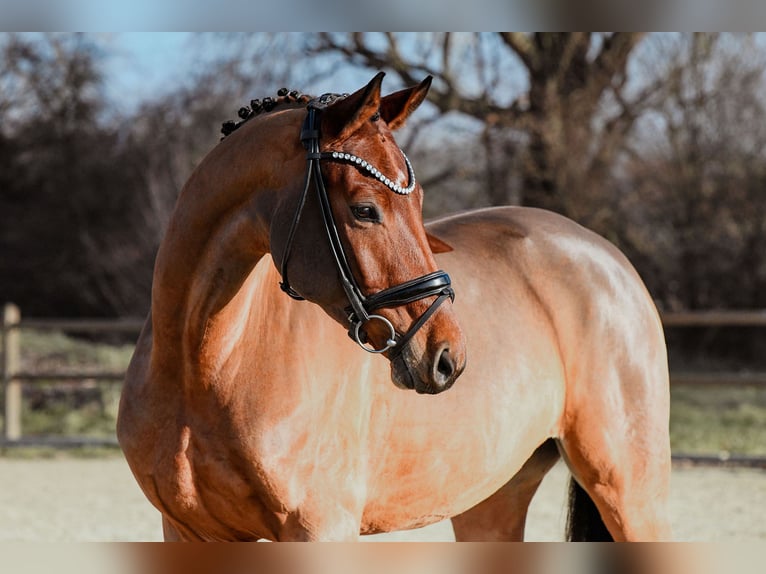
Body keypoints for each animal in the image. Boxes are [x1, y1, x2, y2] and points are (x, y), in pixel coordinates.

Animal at [117, 73, 672, 541]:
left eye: (420, 202)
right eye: (365, 209)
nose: (447, 356)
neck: (202, 362)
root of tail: (608, 257)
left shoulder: (318, 530)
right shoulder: (190, 533)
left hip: (629, 492)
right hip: (492, 499)